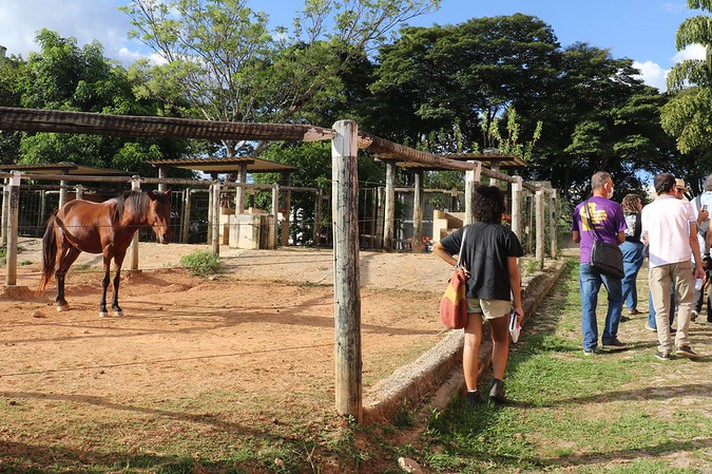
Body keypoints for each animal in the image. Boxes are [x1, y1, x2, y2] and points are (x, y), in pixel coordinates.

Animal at [37, 190, 172, 318]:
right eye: (155, 209)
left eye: (168, 209)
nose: (166, 236)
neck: (118, 220)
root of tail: (60, 212)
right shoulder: (107, 252)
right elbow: (105, 280)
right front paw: (103, 308)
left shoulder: (120, 253)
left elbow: (116, 280)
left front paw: (116, 308)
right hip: (63, 247)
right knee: (58, 270)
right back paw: (60, 303)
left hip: (75, 249)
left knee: (63, 271)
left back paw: (64, 301)